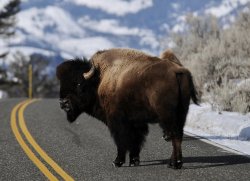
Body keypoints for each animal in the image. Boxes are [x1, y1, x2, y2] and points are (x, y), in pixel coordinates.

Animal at [56, 47, 199, 168]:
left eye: (79, 84)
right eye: (61, 83)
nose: (63, 103)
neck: (99, 79)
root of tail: (177, 71)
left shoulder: (117, 121)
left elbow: (122, 140)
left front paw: (117, 162)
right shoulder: (136, 122)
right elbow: (135, 141)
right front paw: (134, 161)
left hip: (167, 116)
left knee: (174, 135)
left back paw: (175, 164)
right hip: (182, 113)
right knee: (178, 135)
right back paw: (173, 163)